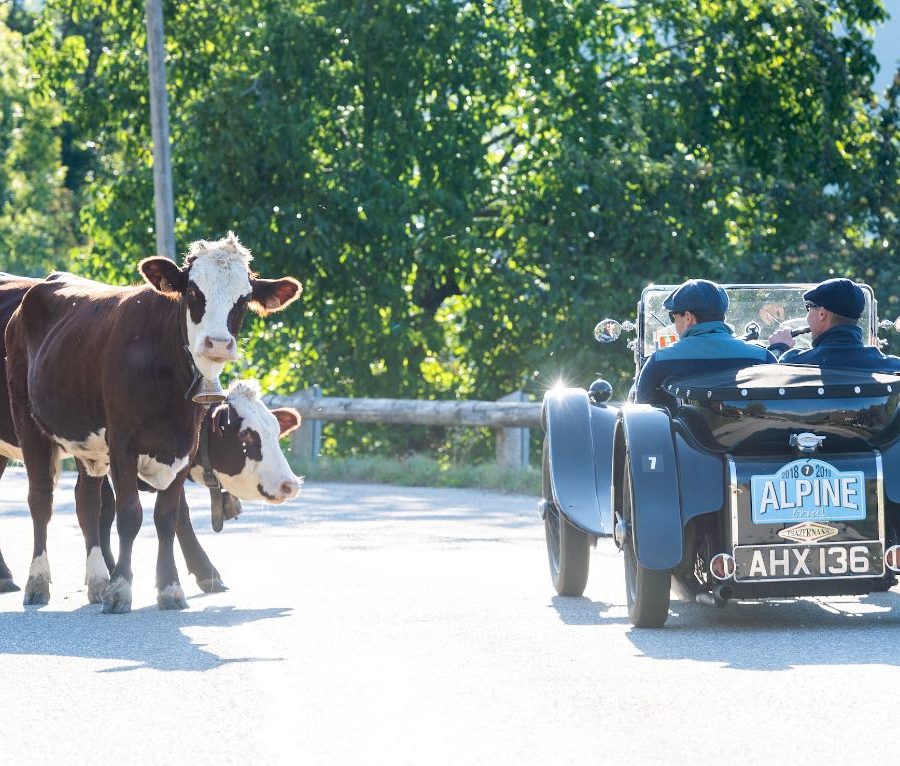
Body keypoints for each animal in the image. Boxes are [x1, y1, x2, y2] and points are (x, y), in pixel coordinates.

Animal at [5, 231, 302, 616]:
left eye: (244, 299)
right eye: (193, 292)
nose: (218, 343)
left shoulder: (183, 446)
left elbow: (167, 516)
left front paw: (170, 587)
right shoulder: (123, 444)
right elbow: (129, 514)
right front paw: (121, 588)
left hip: (88, 448)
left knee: (87, 503)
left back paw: (96, 581)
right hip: (29, 425)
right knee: (41, 499)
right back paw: (37, 581)